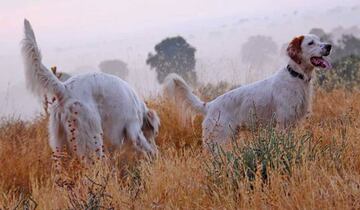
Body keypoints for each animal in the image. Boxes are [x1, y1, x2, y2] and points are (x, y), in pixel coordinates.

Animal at [21, 20, 159, 161]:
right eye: (153, 132)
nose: (155, 143)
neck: (139, 107)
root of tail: (64, 89)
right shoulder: (133, 128)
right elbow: (144, 145)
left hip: (60, 142)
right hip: (92, 138)